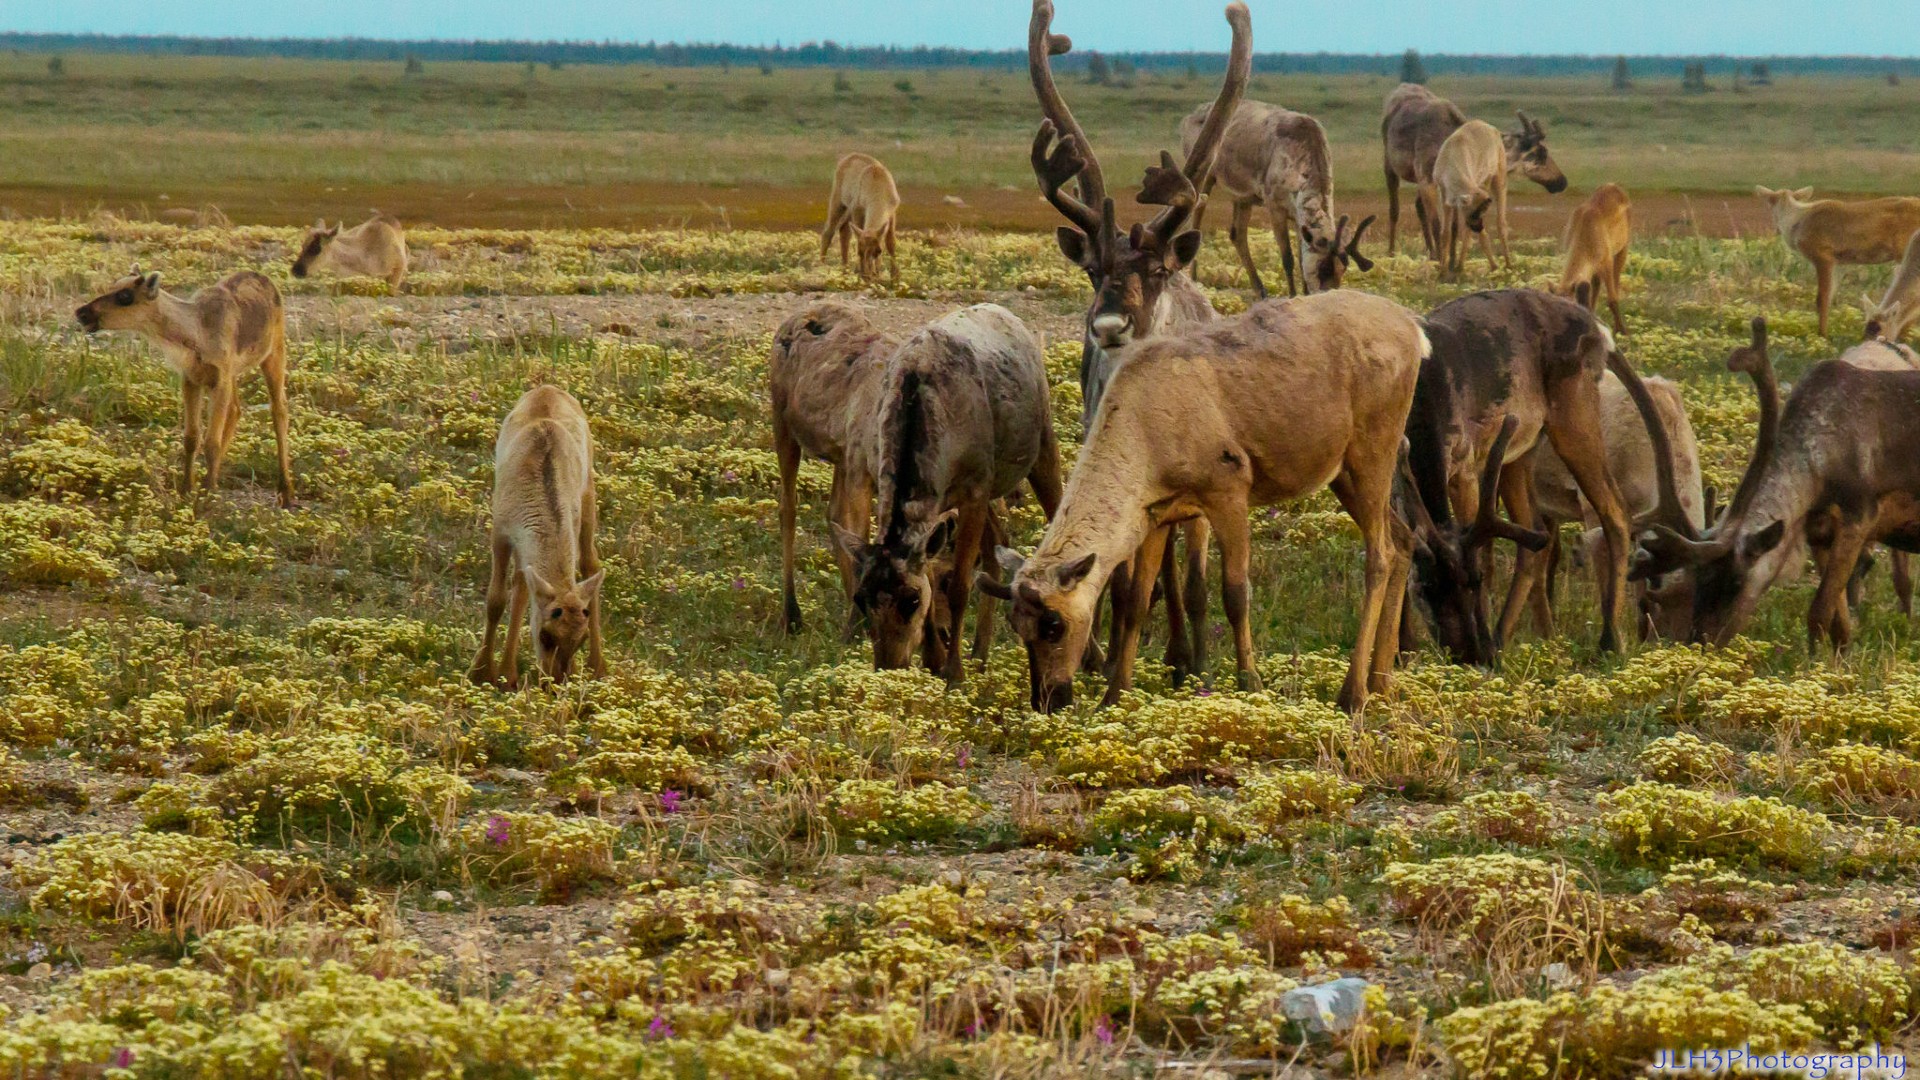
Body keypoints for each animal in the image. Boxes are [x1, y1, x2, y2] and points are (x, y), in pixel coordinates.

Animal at [75, 269, 295, 503]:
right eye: (112, 286)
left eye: (125, 296)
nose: (81, 312)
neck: (196, 334)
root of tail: (265, 279)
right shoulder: (191, 380)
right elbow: (191, 438)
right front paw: (188, 489)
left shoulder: (219, 380)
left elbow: (211, 442)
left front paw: (207, 494)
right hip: (234, 375)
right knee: (236, 410)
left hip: (274, 353)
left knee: (279, 410)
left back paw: (286, 491)